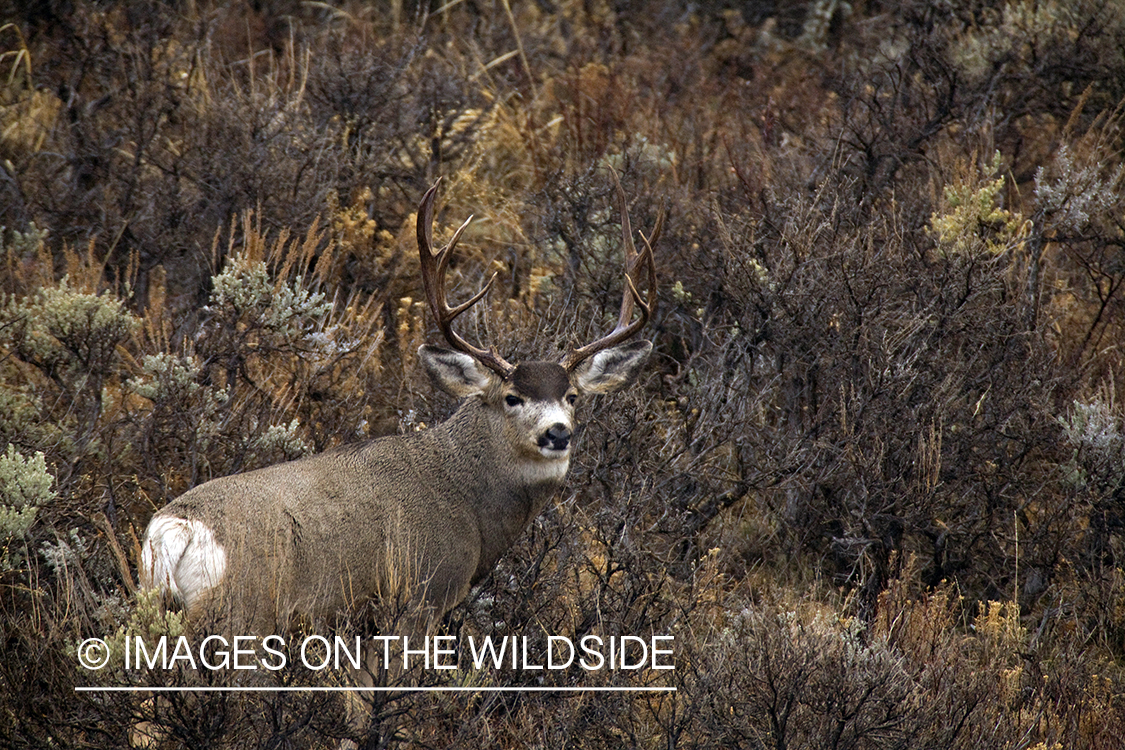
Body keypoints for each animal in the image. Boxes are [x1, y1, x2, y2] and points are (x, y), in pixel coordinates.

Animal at [139, 177, 661, 665]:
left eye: (571, 396)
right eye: (512, 397)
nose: (558, 432)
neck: (467, 500)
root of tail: (174, 530)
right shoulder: (422, 592)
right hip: (240, 612)